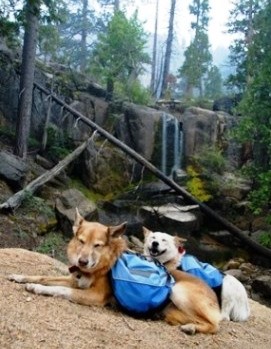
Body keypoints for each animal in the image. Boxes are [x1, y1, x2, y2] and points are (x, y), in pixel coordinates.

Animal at [7, 211, 221, 334]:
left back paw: (192, 328)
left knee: (214, 325)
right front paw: (20, 276)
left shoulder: (95, 296)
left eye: (98, 245)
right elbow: (45, 276)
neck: (98, 268)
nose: (82, 261)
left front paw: (36, 288)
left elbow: (60, 290)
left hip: (178, 291)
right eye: (81, 241)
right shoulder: (75, 280)